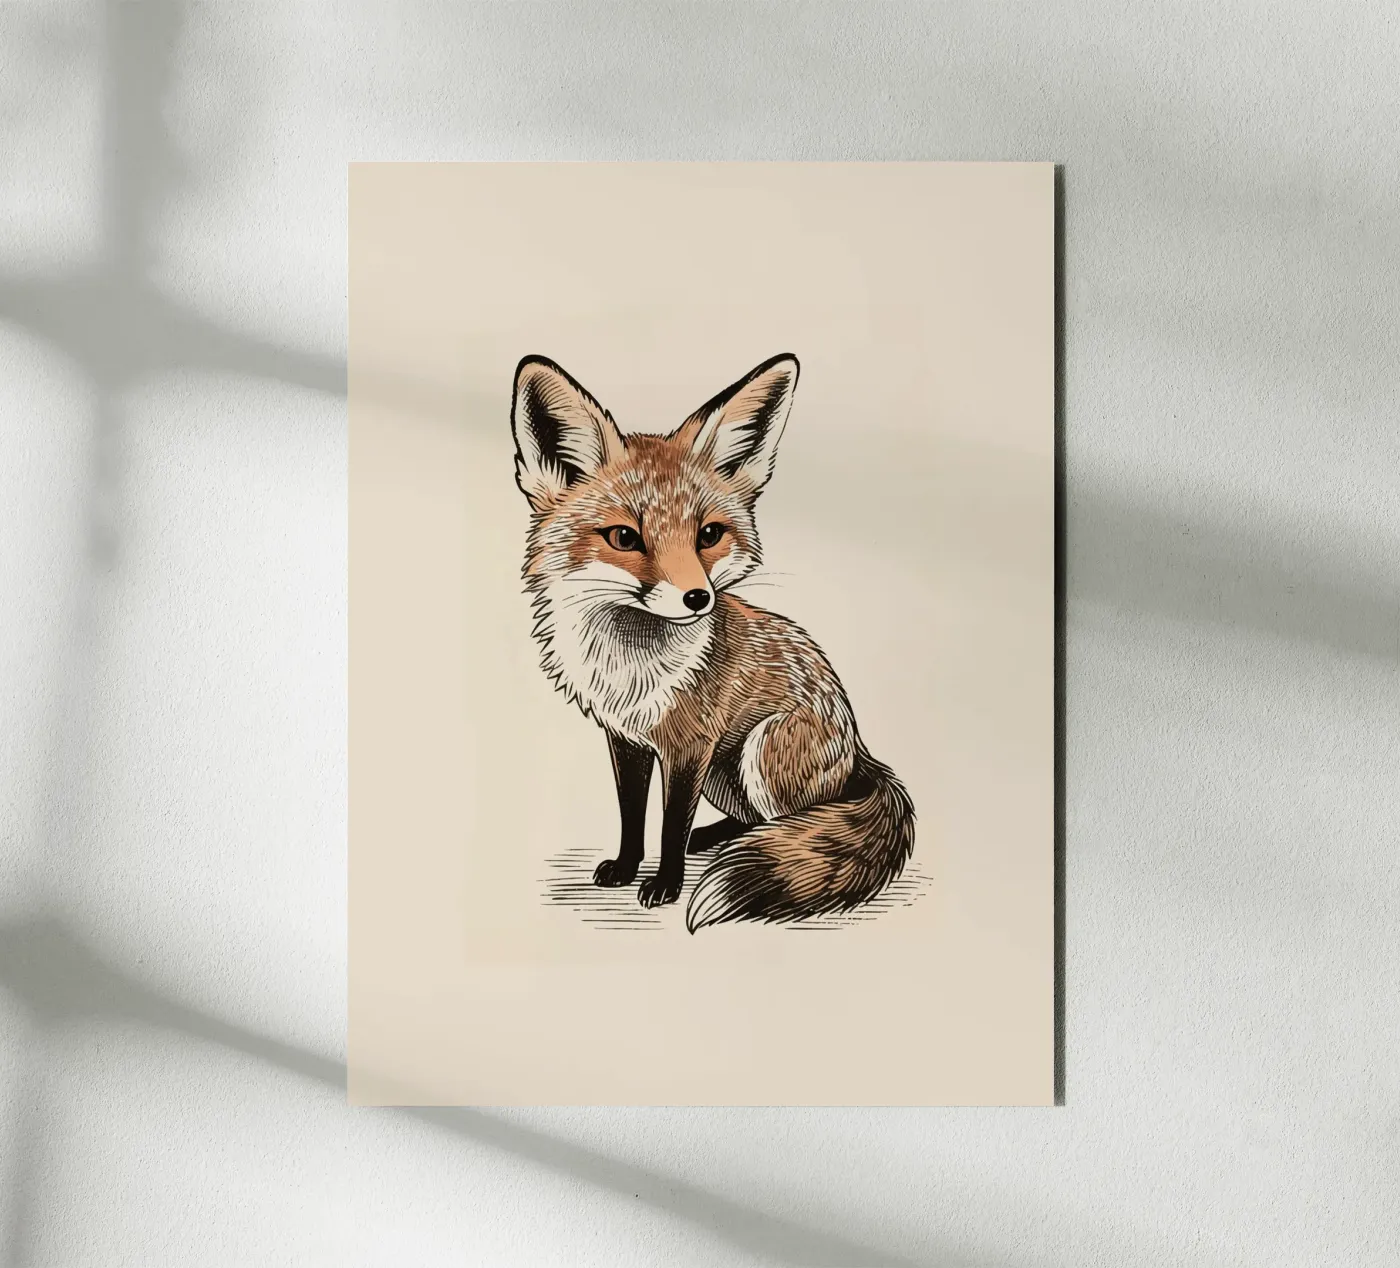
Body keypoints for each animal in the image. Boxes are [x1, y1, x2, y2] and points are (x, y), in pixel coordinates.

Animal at [509, 352, 915, 931]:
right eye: (625, 538)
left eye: (708, 535)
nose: (698, 598)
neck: (631, 667)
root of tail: (860, 751)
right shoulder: (627, 739)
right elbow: (632, 814)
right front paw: (627, 868)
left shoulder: (691, 745)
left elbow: (671, 823)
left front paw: (665, 885)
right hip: (729, 775)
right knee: (755, 821)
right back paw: (718, 839)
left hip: (759, 750)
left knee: (798, 823)